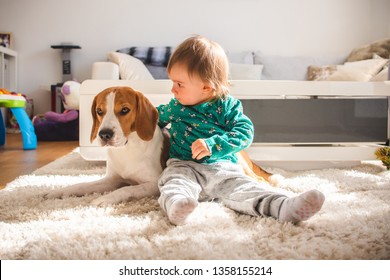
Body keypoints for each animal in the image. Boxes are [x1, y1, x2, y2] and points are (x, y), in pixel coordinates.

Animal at [45, 86, 272, 207]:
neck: (127, 149)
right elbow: (83, 185)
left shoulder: (153, 183)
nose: (104, 134)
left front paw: (106, 198)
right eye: (99, 111)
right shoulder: (112, 179)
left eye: (125, 110)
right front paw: (60, 191)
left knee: (259, 178)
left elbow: (126, 189)